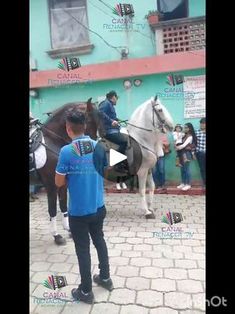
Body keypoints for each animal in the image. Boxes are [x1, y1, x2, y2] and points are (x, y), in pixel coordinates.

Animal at [29, 98, 99, 245]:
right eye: (89, 121)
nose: (93, 147)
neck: (54, 140)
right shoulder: (51, 185)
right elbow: (52, 210)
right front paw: (56, 236)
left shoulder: (63, 184)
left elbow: (63, 206)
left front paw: (69, 231)